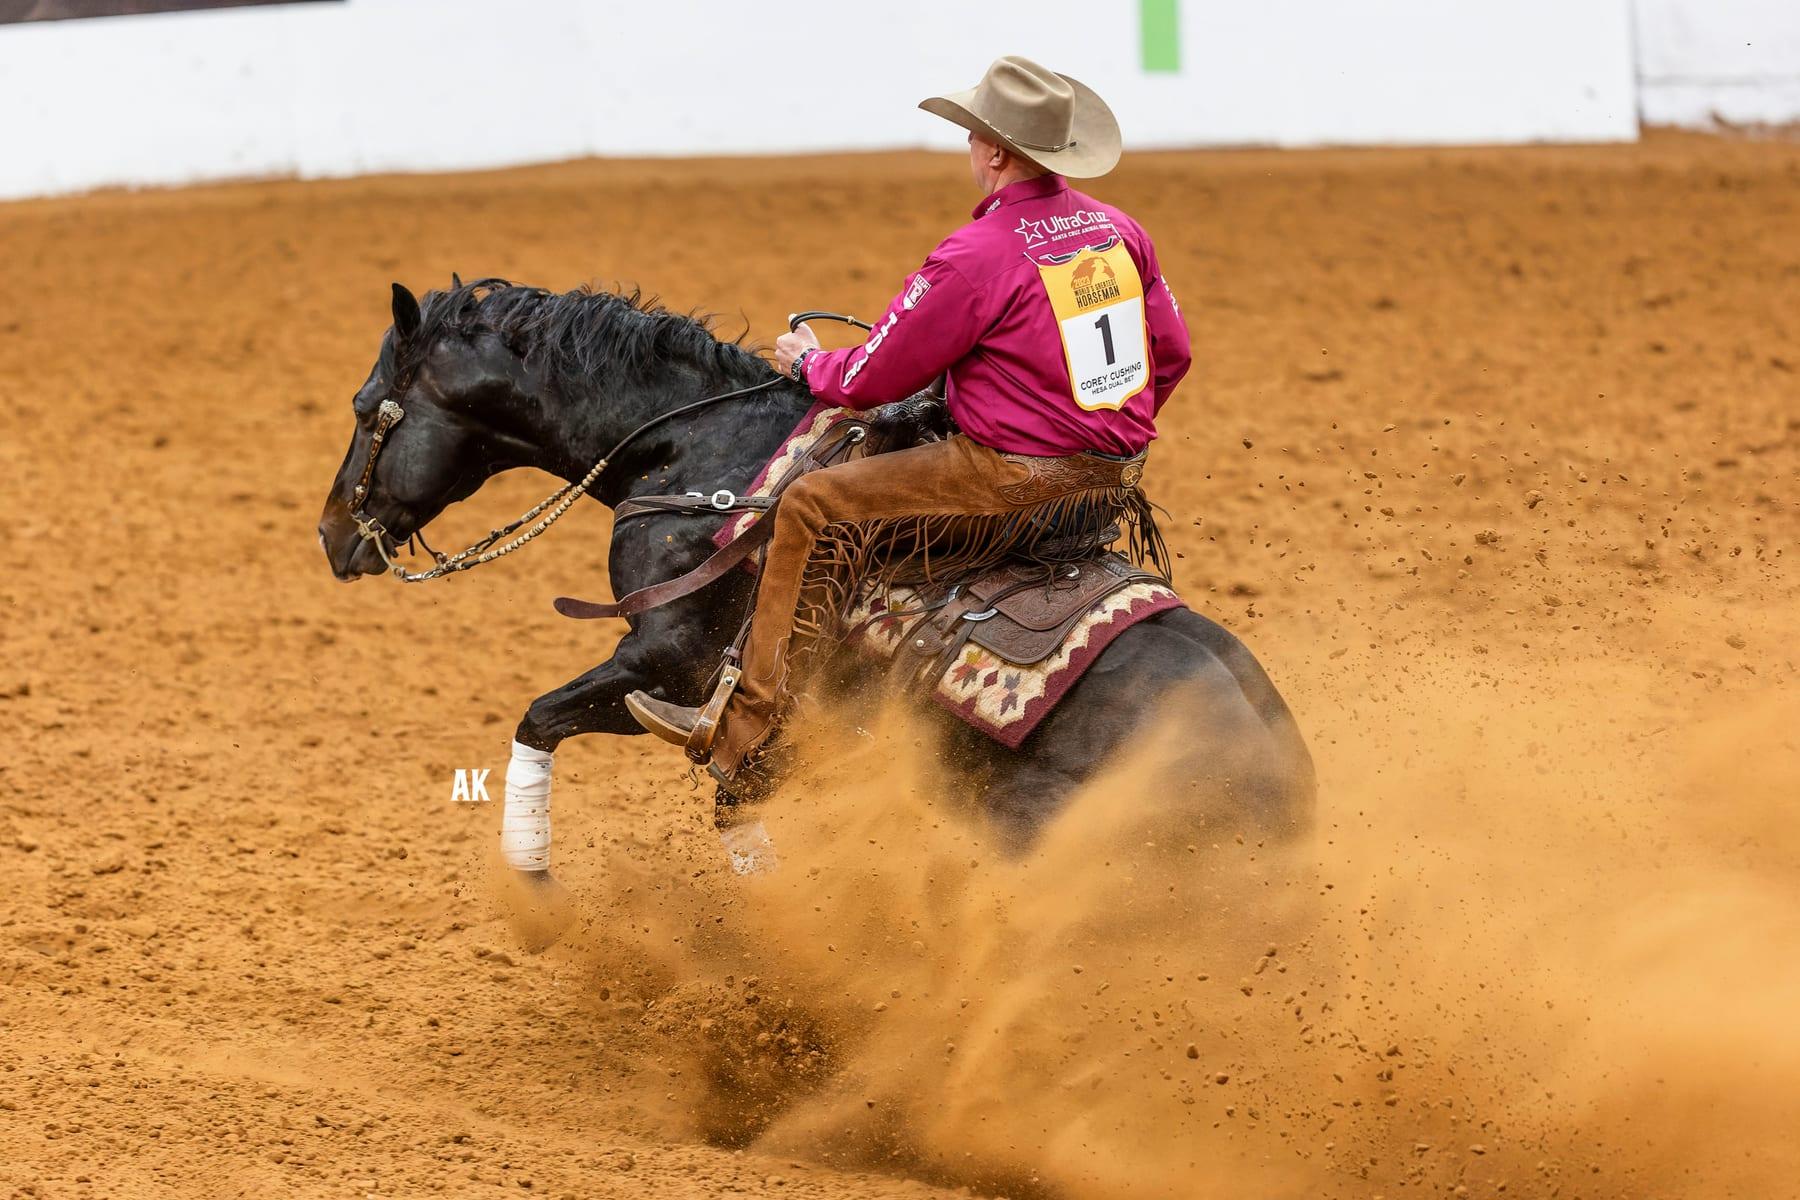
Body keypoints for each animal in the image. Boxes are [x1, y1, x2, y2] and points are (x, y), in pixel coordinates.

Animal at [317, 279, 1315, 895]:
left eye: (368, 409)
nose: (331, 536)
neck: (706, 454)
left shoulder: (666, 663)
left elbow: (541, 718)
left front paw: (531, 893)